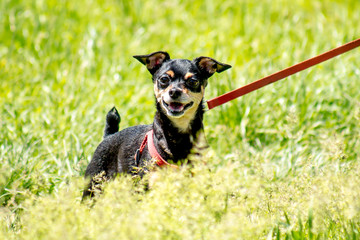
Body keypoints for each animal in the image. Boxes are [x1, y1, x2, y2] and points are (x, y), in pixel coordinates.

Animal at [82, 52, 231, 199]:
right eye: (164, 79)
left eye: (193, 81)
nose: (174, 91)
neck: (179, 134)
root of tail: (109, 136)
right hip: (93, 187)